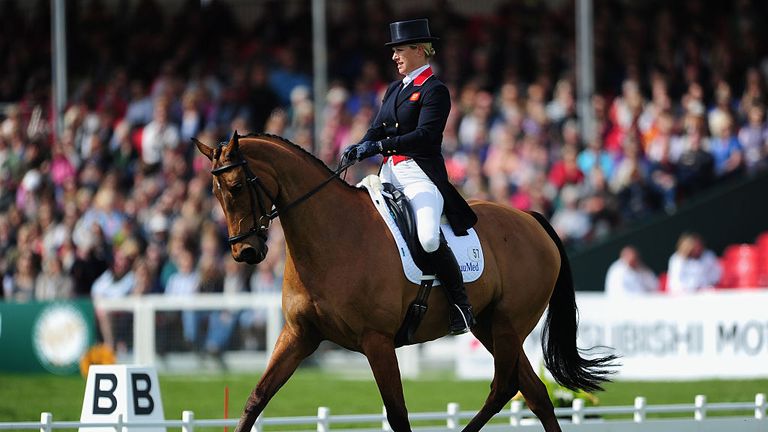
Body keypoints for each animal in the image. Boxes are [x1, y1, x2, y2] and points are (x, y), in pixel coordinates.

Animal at [195, 132, 616, 432]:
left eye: (236, 187)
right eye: (214, 191)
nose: (245, 253)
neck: (331, 235)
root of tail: (532, 220)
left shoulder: (377, 341)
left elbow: (398, 415)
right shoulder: (299, 334)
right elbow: (256, 399)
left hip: (510, 324)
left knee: (503, 388)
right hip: (489, 326)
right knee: (535, 393)